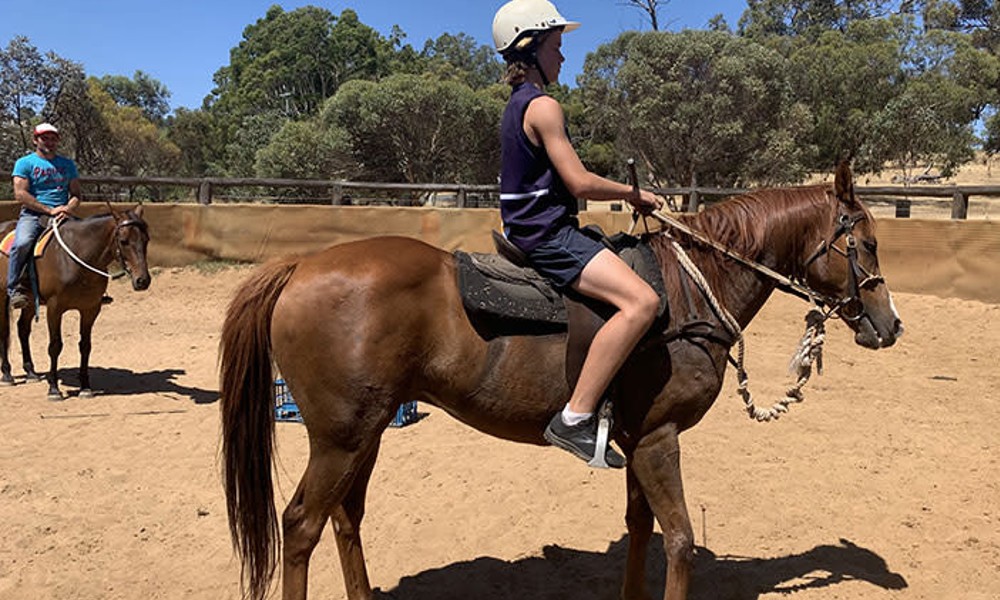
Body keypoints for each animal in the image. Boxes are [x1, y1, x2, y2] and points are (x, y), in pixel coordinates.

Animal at [0, 206, 152, 398]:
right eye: (124, 241)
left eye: (146, 240)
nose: (143, 281)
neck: (77, 256)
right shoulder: (54, 308)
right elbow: (55, 346)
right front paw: (54, 388)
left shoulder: (90, 309)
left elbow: (85, 346)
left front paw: (85, 387)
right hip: (2, 296)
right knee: (5, 331)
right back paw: (7, 374)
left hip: (30, 301)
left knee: (22, 329)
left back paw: (31, 372)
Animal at [221, 164, 908, 600]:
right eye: (869, 244)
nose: (890, 324)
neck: (688, 291)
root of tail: (300, 265)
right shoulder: (660, 438)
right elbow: (680, 540)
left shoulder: (638, 439)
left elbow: (641, 529)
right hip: (341, 439)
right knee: (302, 526)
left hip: (366, 433)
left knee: (346, 518)